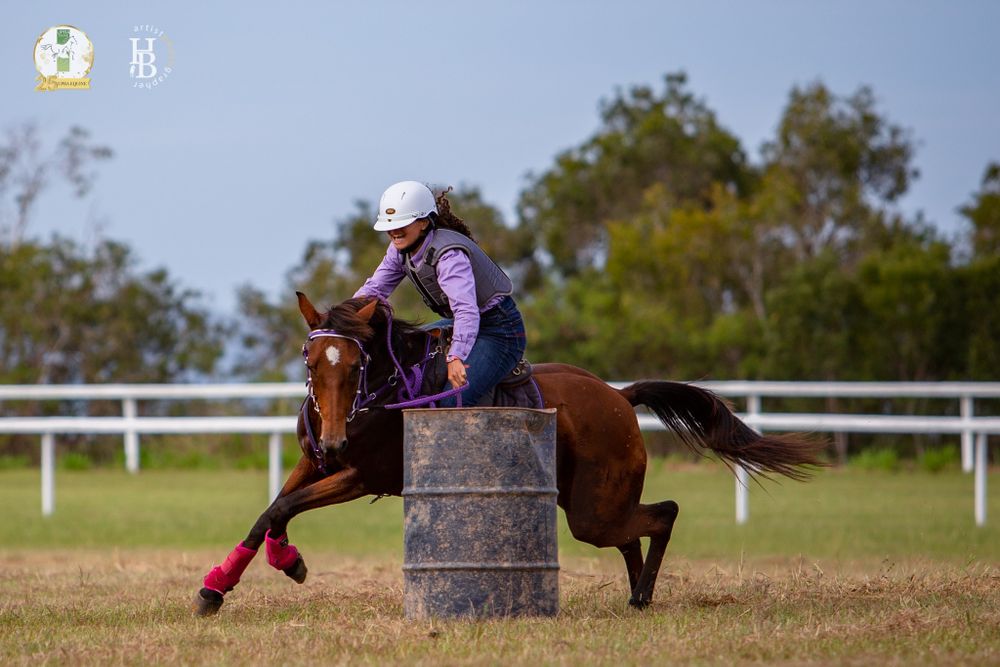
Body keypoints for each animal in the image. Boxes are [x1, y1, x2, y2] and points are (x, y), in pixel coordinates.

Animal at [194, 293, 823, 616]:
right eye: (310, 359)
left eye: (355, 363)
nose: (333, 439)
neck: (388, 391)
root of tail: (619, 396)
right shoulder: (316, 463)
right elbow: (269, 512)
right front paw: (219, 587)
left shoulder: (360, 474)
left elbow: (282, 508)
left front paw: (287, 564)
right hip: (590, 506)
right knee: (633, 532)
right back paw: (637, 595)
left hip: (592, 509)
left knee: (662, 515)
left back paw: (643, 594)